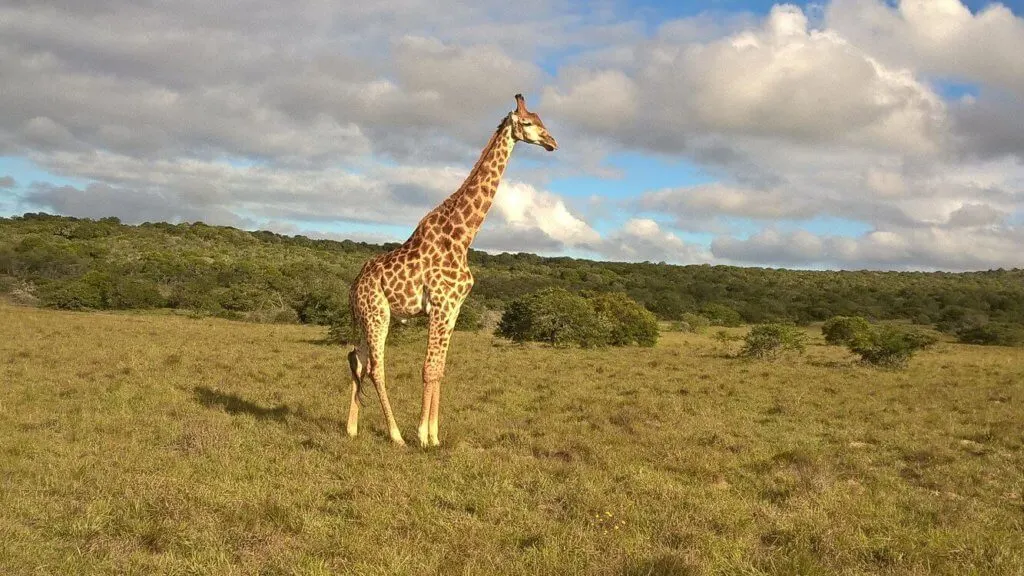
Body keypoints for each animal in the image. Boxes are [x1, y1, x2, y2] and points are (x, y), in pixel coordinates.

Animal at [344, 94, 557, 446]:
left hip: (366, 317)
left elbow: (440, 369)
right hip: (378, 315)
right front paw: (423, 436)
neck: (463, 235)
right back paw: (396, 435)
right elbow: (429, 368)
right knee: (376, 368)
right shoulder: (442, 304)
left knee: (357, 360)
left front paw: (435, 436)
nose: (552, 142)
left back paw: (351, 428)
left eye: (543, 121)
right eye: (528, 123)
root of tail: (354, 286)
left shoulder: (455, 308)